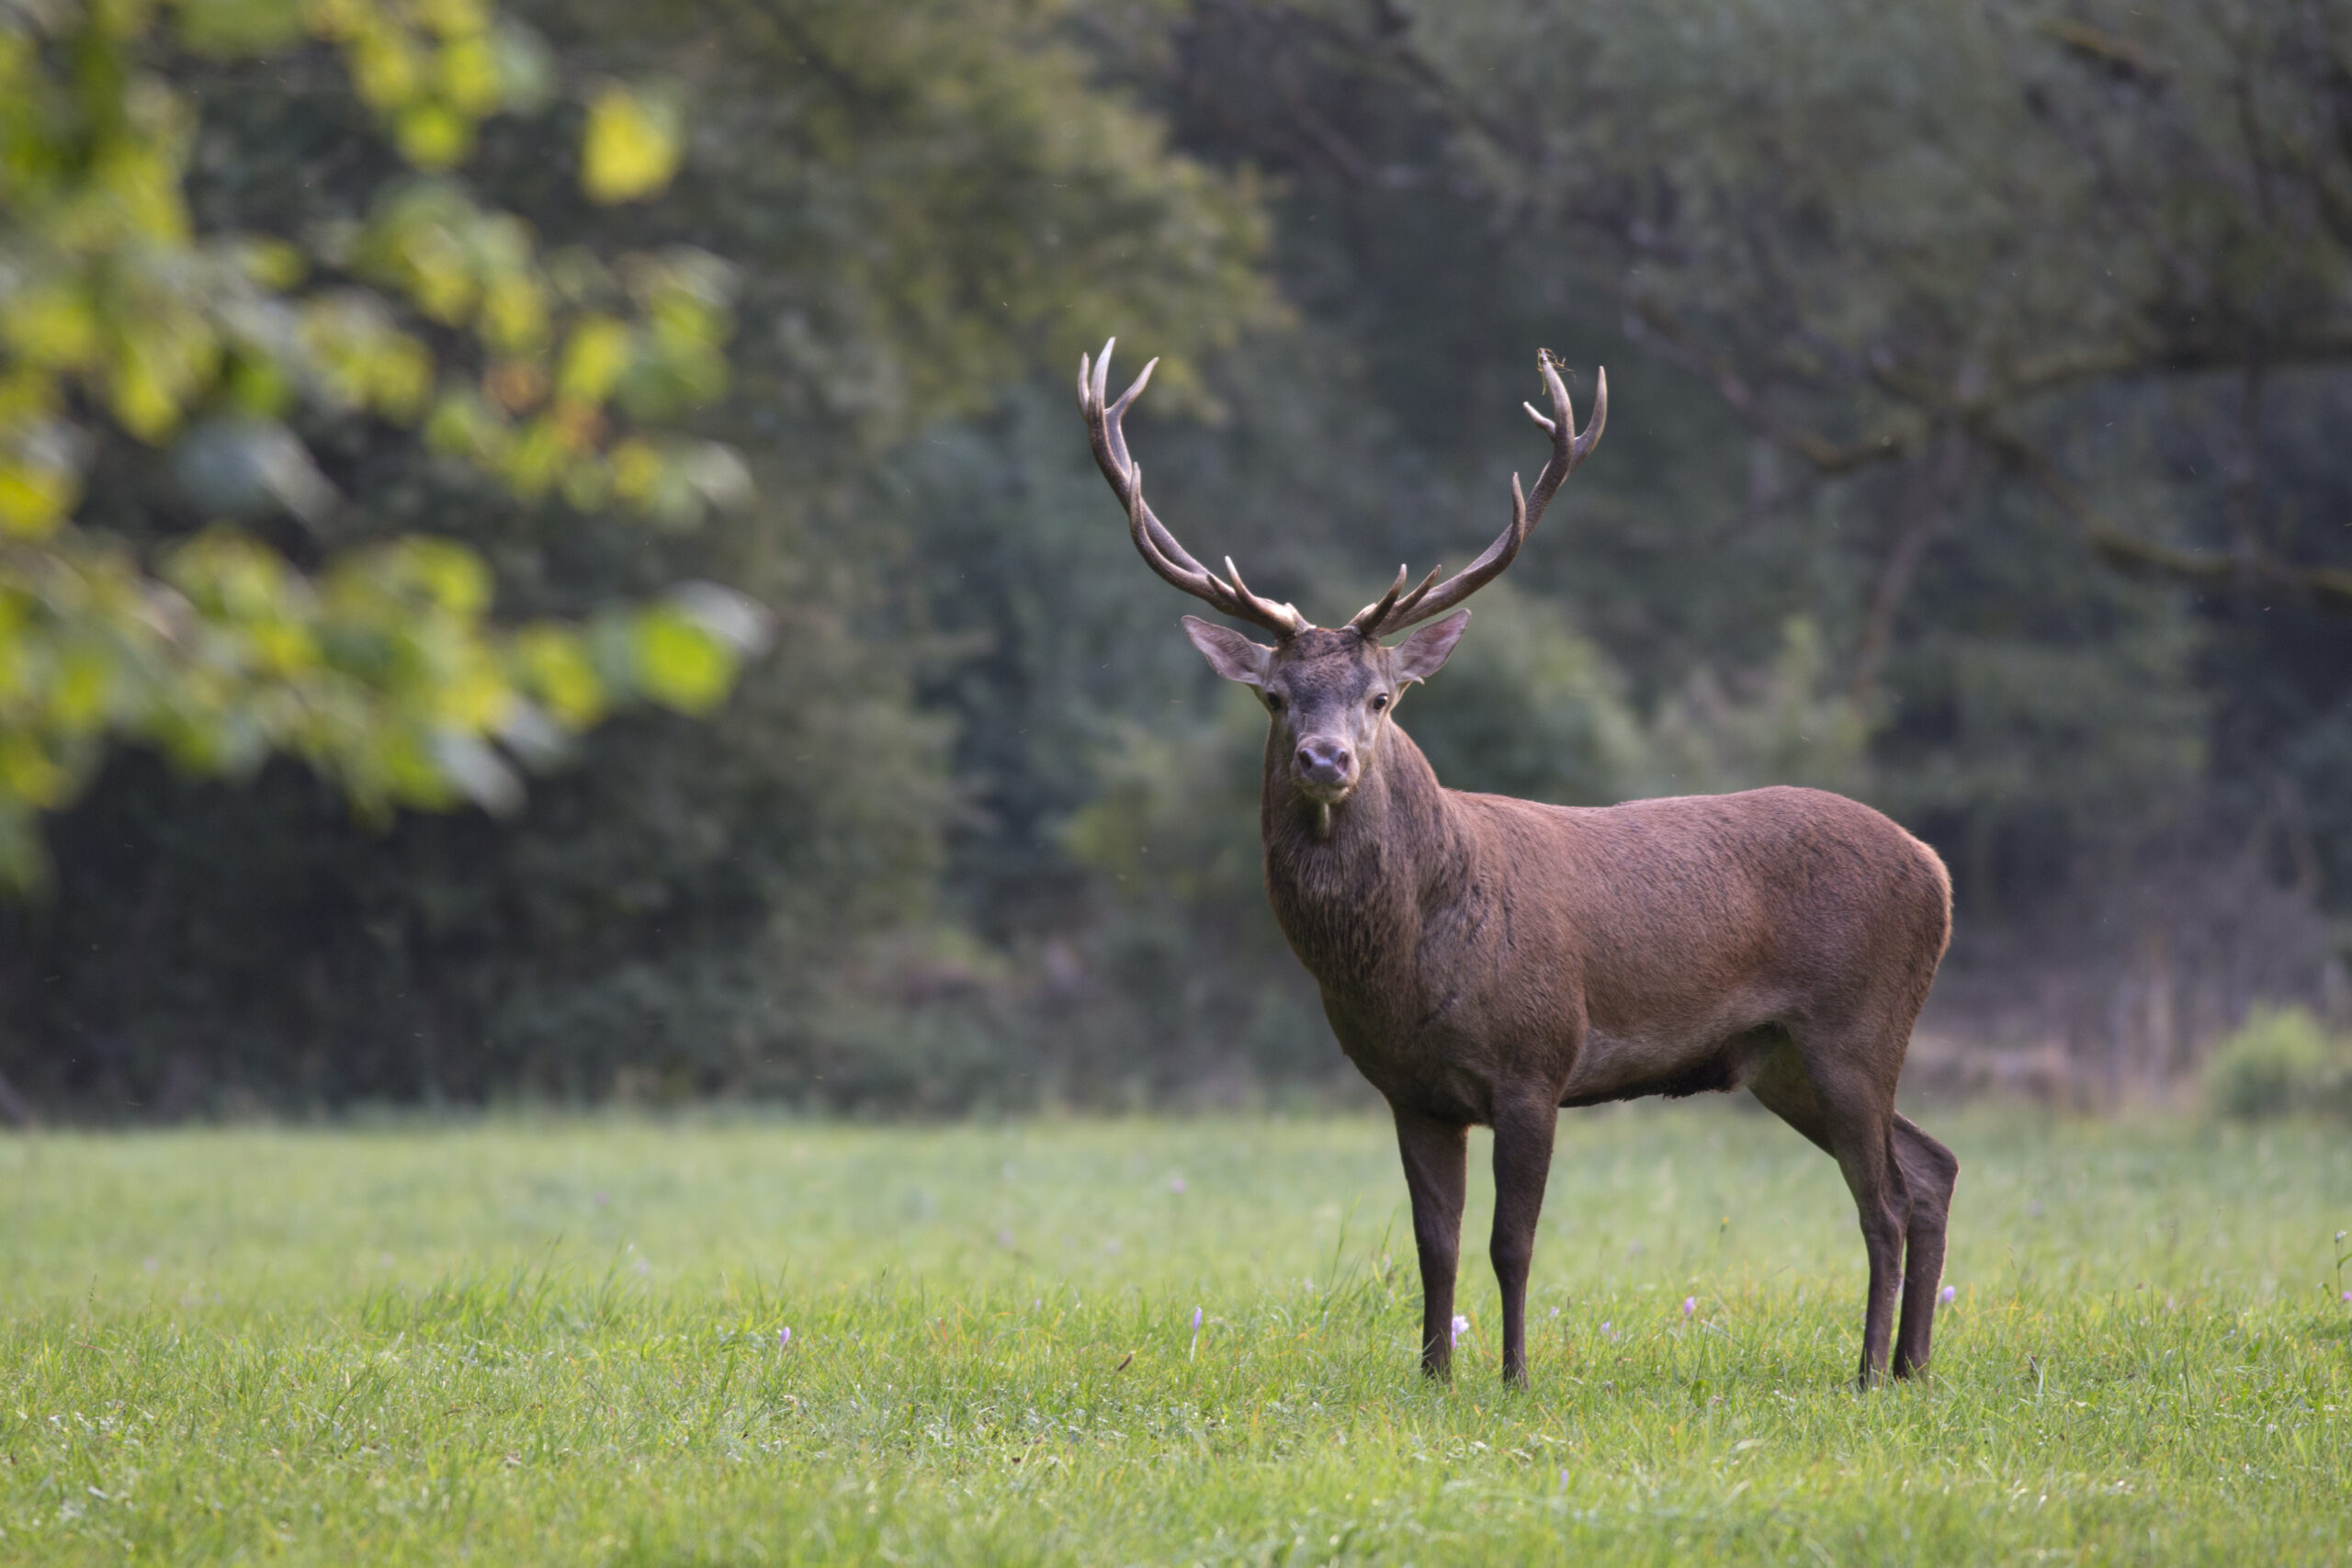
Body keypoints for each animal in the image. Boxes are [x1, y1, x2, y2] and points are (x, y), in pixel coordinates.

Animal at [1077, 341, 1956, 1382]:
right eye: (1276, 696)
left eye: (1381, 697)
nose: (1324, 760)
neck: (1405, 961)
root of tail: (1937, 869)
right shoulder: (1410, 1089)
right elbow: (1435, 1242)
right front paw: (1432, 1375)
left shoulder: (1537, 1061)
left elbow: (1512, 1242)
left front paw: (1513, 1378)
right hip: (1780, 1058)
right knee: (1931, 1167)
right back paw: (1912, 1368)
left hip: (1855, 1025)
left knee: (1885, 1201)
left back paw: (1866, 1376)